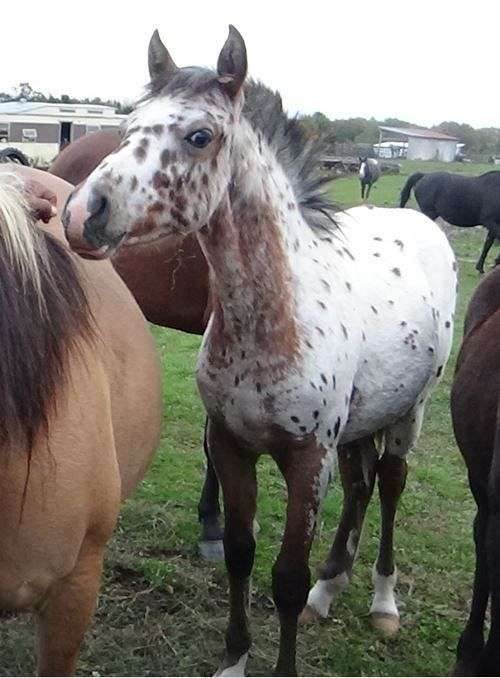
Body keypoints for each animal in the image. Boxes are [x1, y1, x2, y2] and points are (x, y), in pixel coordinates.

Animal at [61, 25, 458, 676]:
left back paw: (382, 601)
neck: (272, 323)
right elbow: (241, 554)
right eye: (127, 128)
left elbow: (286, 577)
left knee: (391, 484)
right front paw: (234, 659)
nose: (81, 213)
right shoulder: (232, 444)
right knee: (362, 485)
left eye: (200, 136)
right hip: (361, 422)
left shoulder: (308, 458)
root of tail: (423, 225)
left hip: (410, 412)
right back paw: (331, 588)